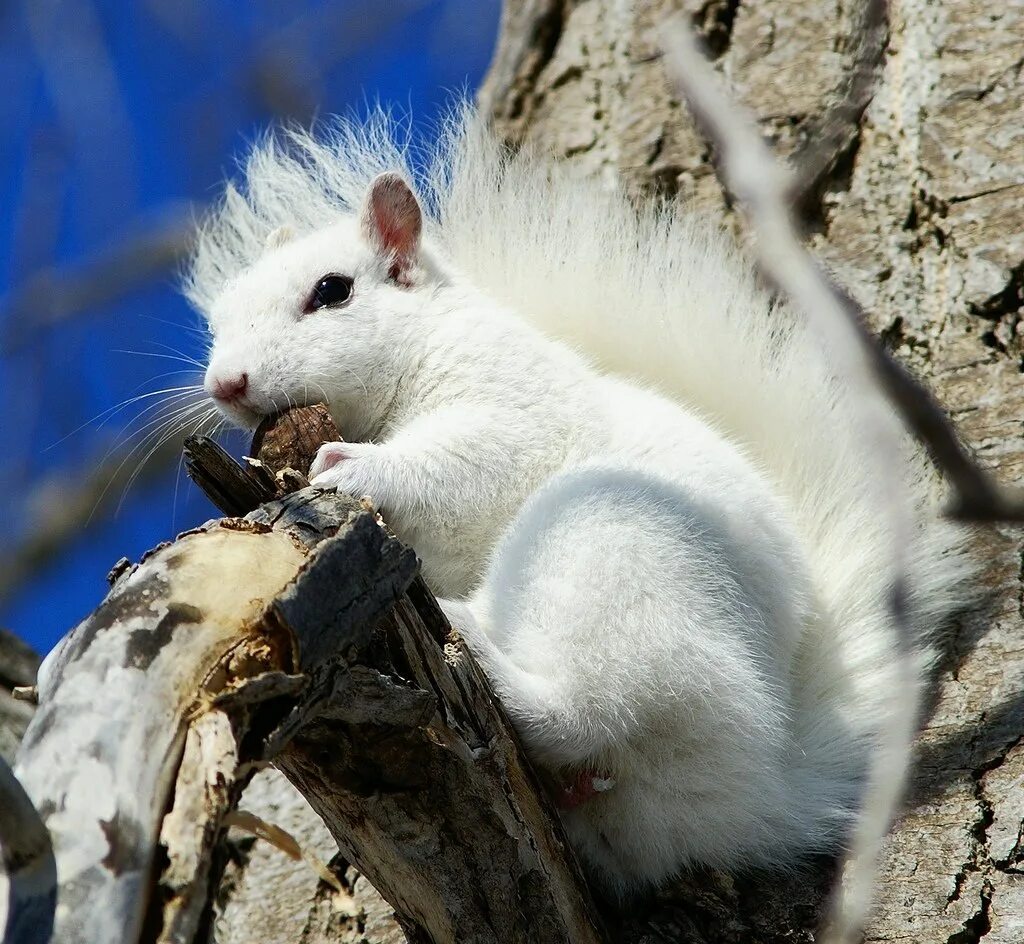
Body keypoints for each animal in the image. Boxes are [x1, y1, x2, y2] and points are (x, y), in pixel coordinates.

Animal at [190, 106, 974, 892]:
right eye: (219, 317)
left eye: (332, 290)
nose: (226, 383)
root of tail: (758, 790)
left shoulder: (514, 410)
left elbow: (464, 468)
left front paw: (352, 468)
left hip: (612, 545)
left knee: (587, 708)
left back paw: (475, 640)